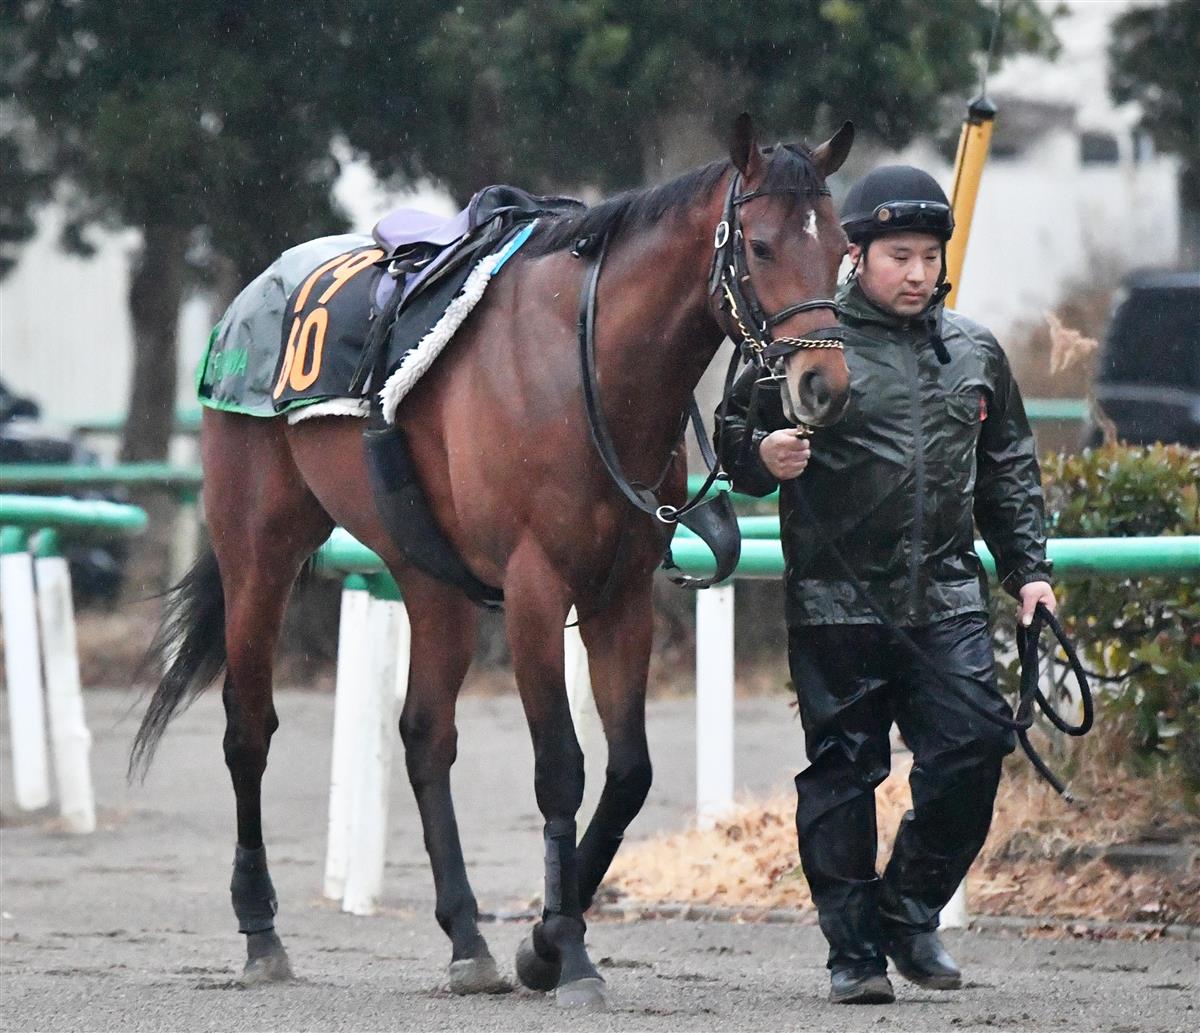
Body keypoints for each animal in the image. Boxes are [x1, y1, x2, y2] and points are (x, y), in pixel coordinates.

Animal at [133, 112, 854, 1007]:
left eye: (844, 247)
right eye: (758, 245)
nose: (823, 383)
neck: (586, 367)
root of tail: (250, 296)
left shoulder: (619, 597)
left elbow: (629, 773)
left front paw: (541, 943)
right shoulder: (536, 589)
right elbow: (561, 769)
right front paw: (569, 953)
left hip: (425, 574)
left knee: (423, 733)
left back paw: (467, 938)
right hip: (258, 549)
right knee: (248, 725)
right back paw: (261, 928)